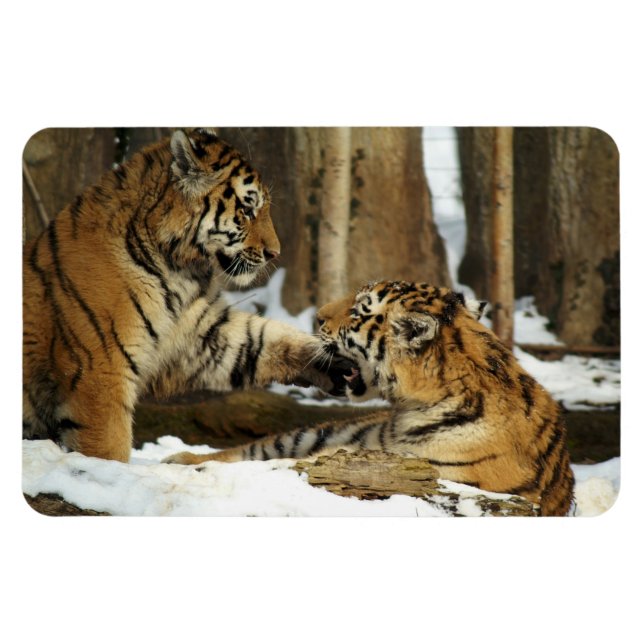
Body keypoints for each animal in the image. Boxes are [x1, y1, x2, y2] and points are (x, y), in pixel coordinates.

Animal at [23, 128, 351, 463]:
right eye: (247, 210)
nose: (275, 253)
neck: (178, 269)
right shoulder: (101, 372)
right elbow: (108, 447)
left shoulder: (199, 336)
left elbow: (262, 339)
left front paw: (330, 359)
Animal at [165, 280, 575, 517]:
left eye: (360, 309)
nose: (316, 317)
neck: (410, 407)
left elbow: (295, 468)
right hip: (309, 434)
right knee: (246, 452)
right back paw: (179, 459)